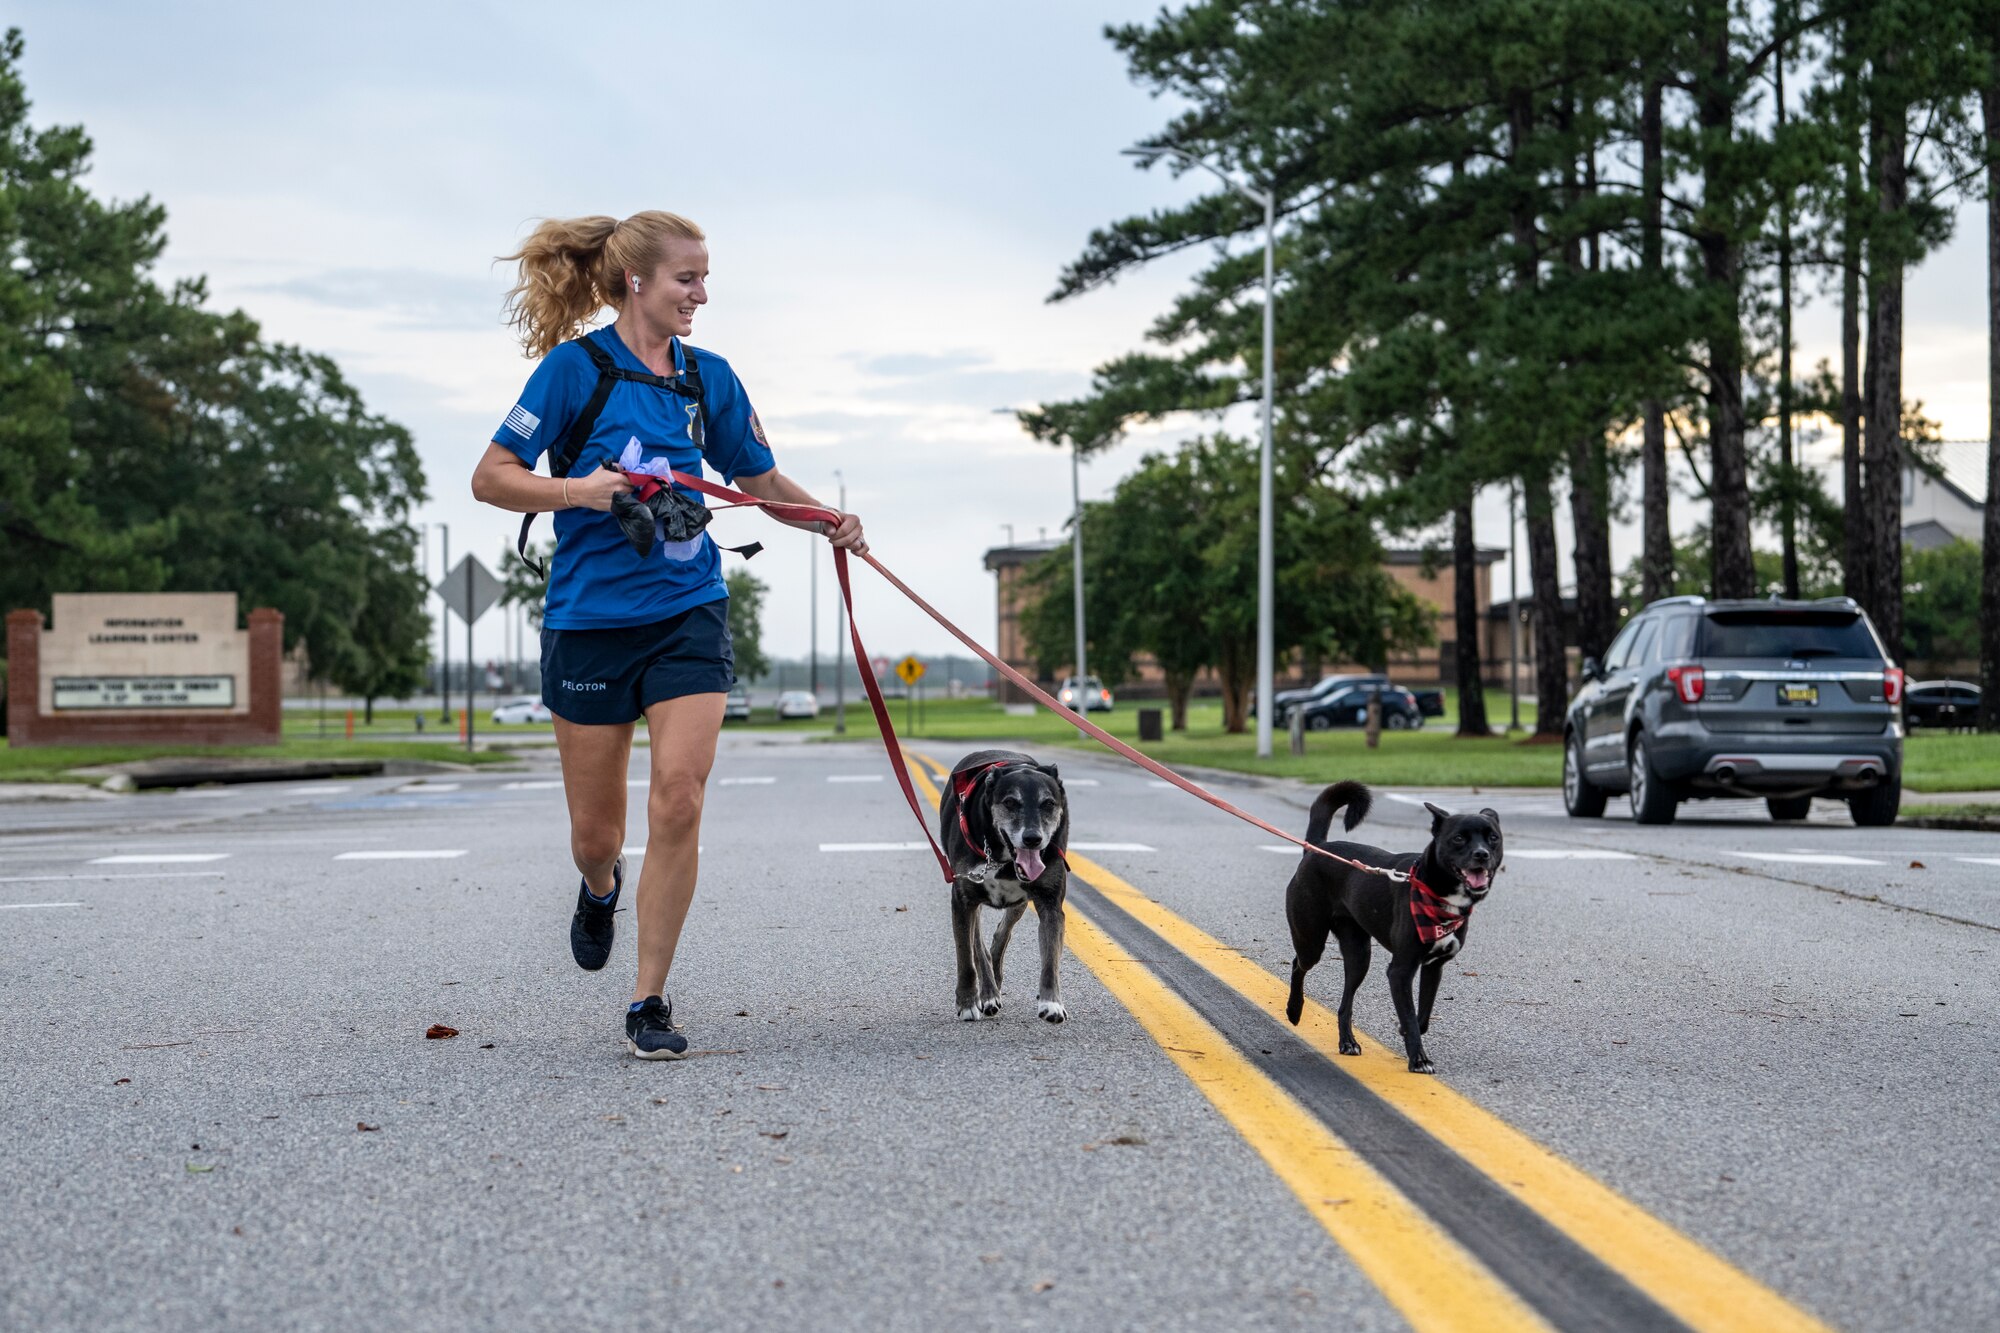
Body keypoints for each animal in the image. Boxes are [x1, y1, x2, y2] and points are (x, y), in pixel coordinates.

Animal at [940, 748, 1072, 1016]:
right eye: (1010, 802)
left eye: (1049, 804)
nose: (1033, 839)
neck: (1002, 858)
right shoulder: (962, 900)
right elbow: (966, 956)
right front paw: (967, 1002)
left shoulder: (1050, 903)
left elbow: (1051, 958)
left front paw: (1051, 1002)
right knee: (978, 946)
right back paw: (988, 992)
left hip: (1019, 903)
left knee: (1001, 935)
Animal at [1280, 780, 1504, 1072]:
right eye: (1458, 838)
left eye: (1493, 838)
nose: (1482, 854)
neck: (1436, 892)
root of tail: (1316, 848)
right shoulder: (1400, 970)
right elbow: (1409, 1015)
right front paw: (1419, 1060)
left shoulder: (1434, 967)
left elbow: (1421, 1017)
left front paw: (1405, 1033)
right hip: (1311, 939)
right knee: (1299, 964)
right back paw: (1294, 1010)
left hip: (1358, 954)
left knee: (1345, 1004)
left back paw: (1347, 1042)